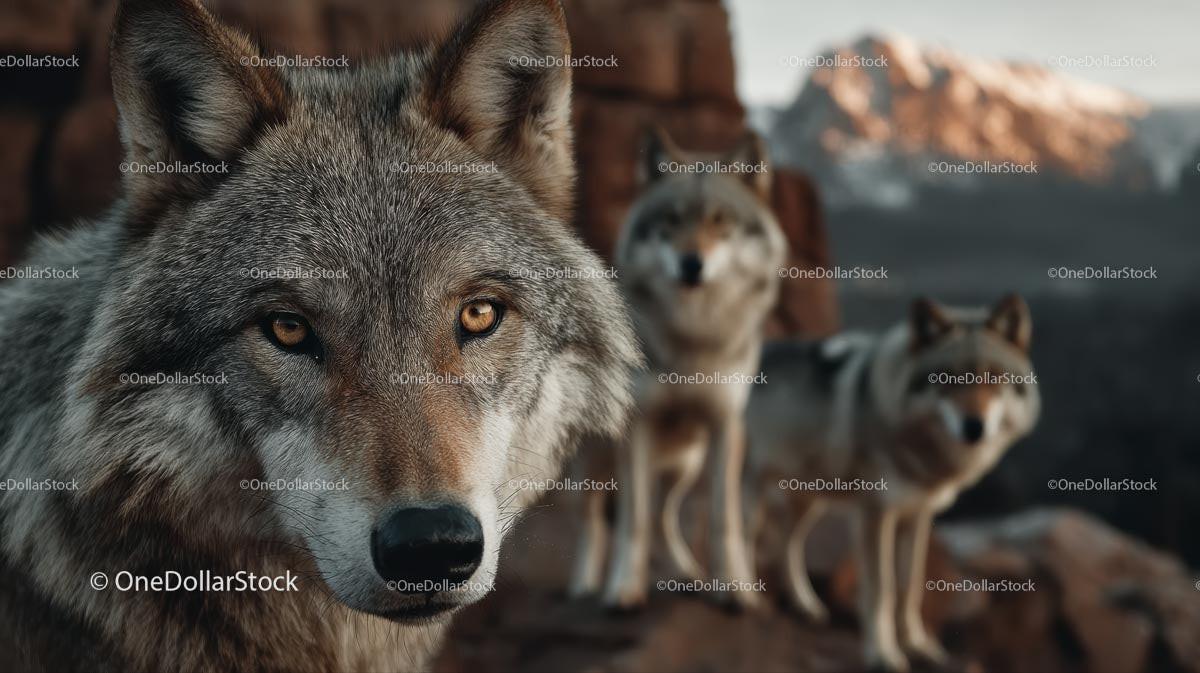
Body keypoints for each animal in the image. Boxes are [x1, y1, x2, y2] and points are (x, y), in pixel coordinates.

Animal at [568, 127, 787, 610]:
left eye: (719, 220)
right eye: (671, 220)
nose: (692, 263)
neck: (692, 339)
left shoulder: (725, 425)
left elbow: (724, 519)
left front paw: (736, 589)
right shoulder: (636, 427)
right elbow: (633, 521)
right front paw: (623, 589)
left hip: (686, 461)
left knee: (665, 514)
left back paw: (688, 573)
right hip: (598, 456)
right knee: (595, 515)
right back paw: (585, 583)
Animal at [745, 294, 1040, 672]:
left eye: (995, 377)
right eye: (948, 379)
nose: (974, 427)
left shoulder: (917, 514)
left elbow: (910, 586)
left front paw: (918, 646)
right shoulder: (875, 514)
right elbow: (881, 589)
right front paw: (883, 654)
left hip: (808, 499)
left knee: (787, 542)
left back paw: (803, 605)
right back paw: (732, 592)